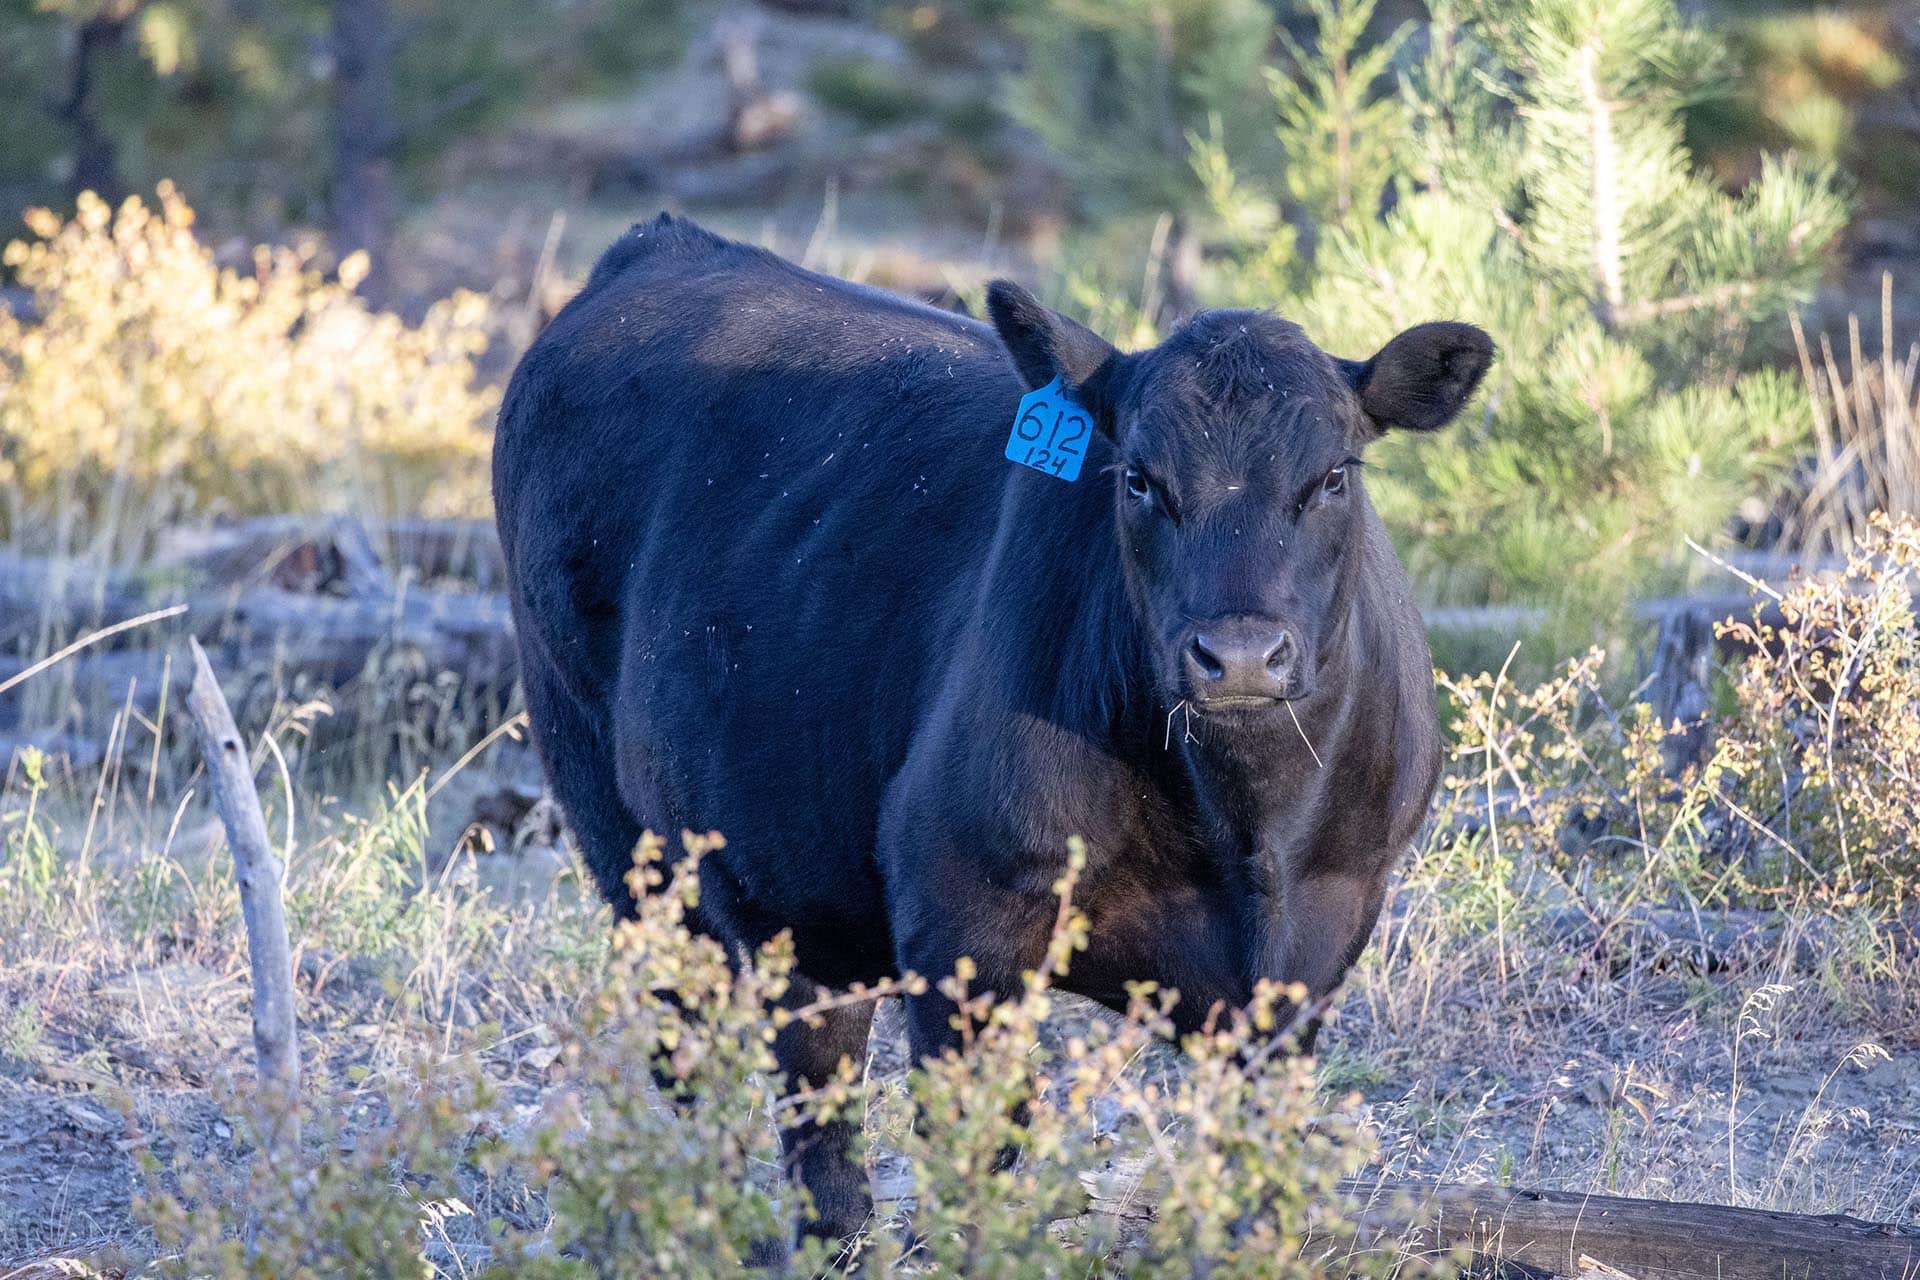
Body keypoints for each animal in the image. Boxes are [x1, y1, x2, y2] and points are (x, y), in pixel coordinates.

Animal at [492, 213, 1493, 1251]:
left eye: (1333, 476)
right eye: (1139, 480)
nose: (1242, 656)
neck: (1247, 826)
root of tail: (667, 243)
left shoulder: (1314, 956)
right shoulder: (964, 925)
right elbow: (974, 1175)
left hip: (797, 886)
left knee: (817, 1079)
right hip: (621, 830)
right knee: (707, 1066)